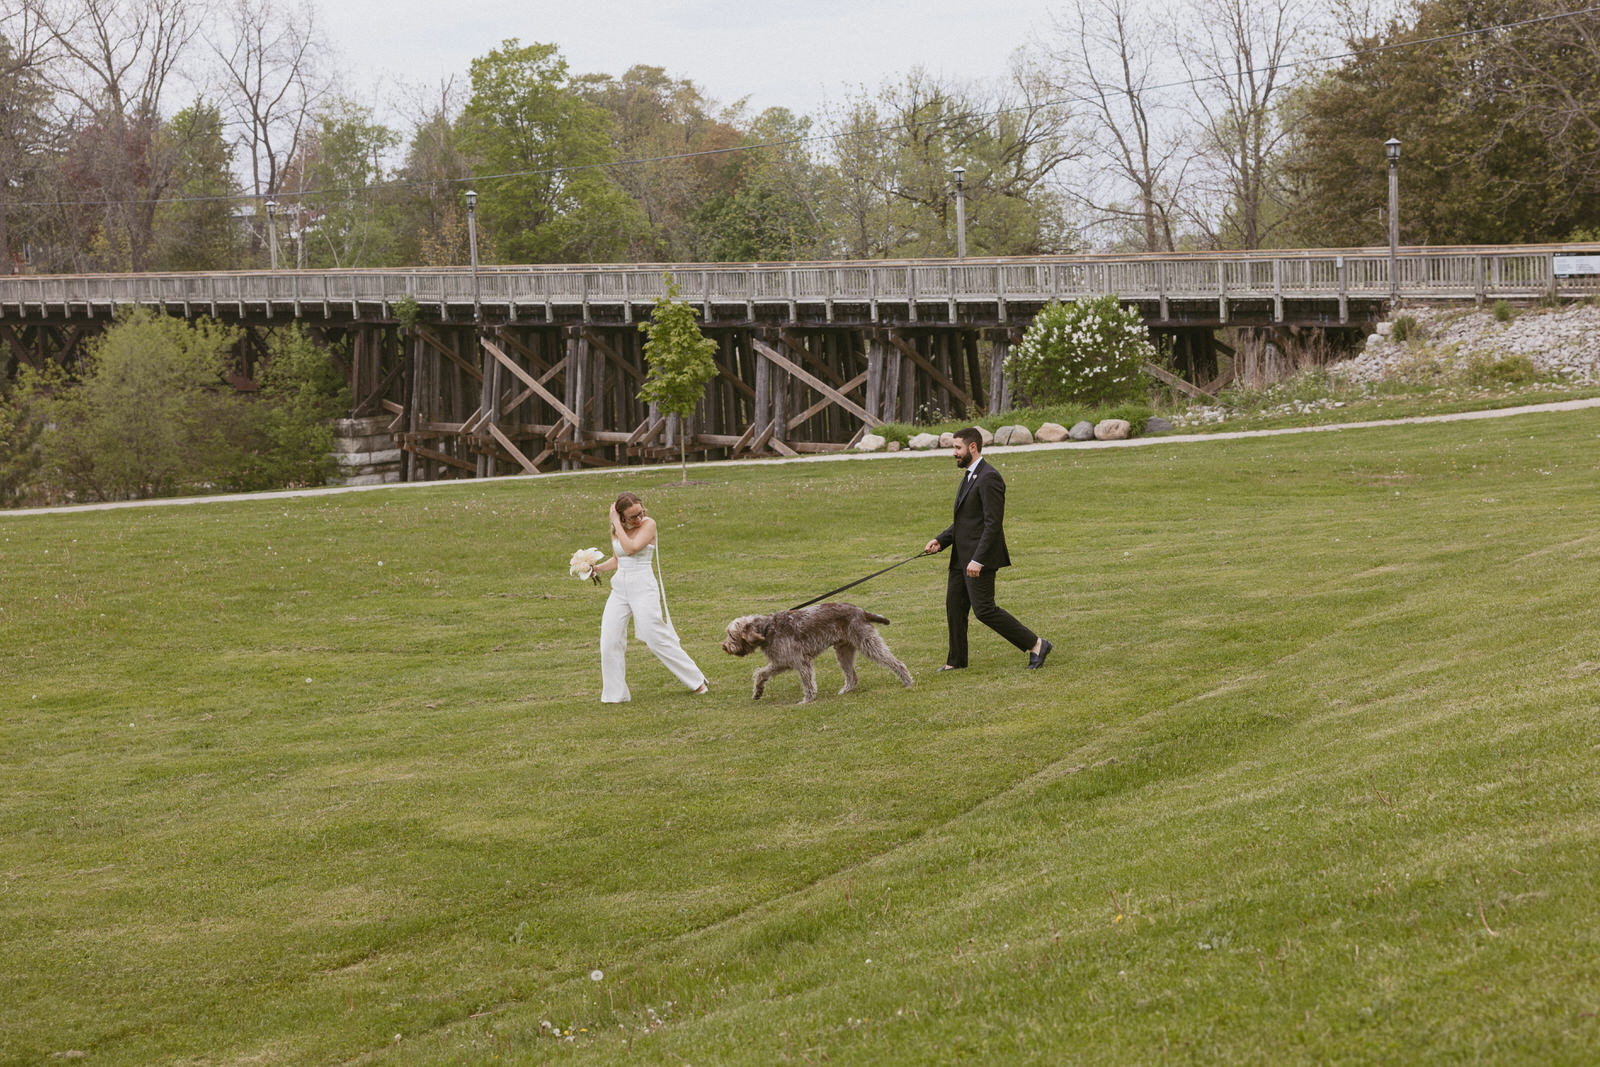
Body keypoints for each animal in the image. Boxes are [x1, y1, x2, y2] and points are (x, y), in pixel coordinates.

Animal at [723, 604, 915, 703]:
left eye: (731, 635)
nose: (724, 647)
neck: (768, 629)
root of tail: (861, 611)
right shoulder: (782, 662)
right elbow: (761, 673)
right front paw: (758, 691)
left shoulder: (801, 661)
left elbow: (808, 683)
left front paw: (808, 700)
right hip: (843, 651)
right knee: (852, 677)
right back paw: (846, 690)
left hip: (868, 643)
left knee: (896, 663)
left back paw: (908, 681)